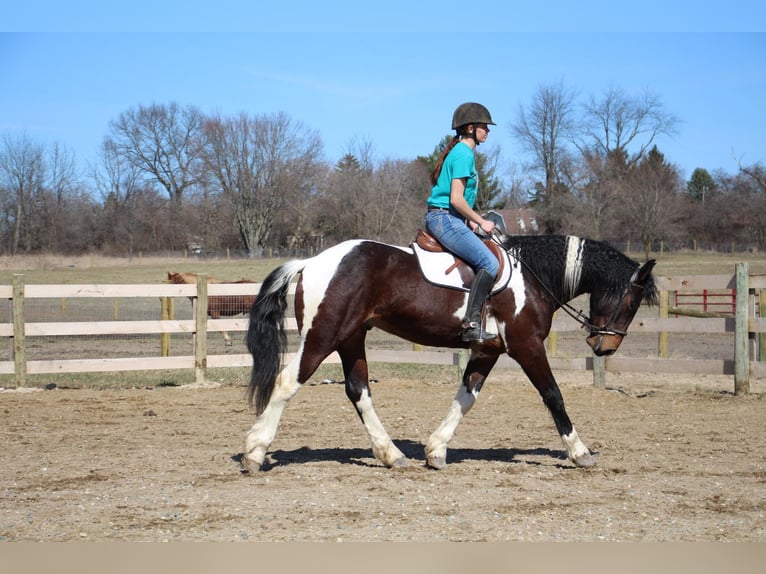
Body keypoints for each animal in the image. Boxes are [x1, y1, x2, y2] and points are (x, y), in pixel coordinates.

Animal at [242, 232, 660, 474]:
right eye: (631, 301)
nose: (605, 346)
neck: (532, 277)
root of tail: (311, 262)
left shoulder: (488, 350)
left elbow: (466, 397)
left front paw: (436, 449)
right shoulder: (526, 346)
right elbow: (553, 395)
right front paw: (579, 451)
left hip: (350, 339)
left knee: (359, 390)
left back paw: (391, 454)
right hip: (322, 337)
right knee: (287, 382)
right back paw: (255, 452)